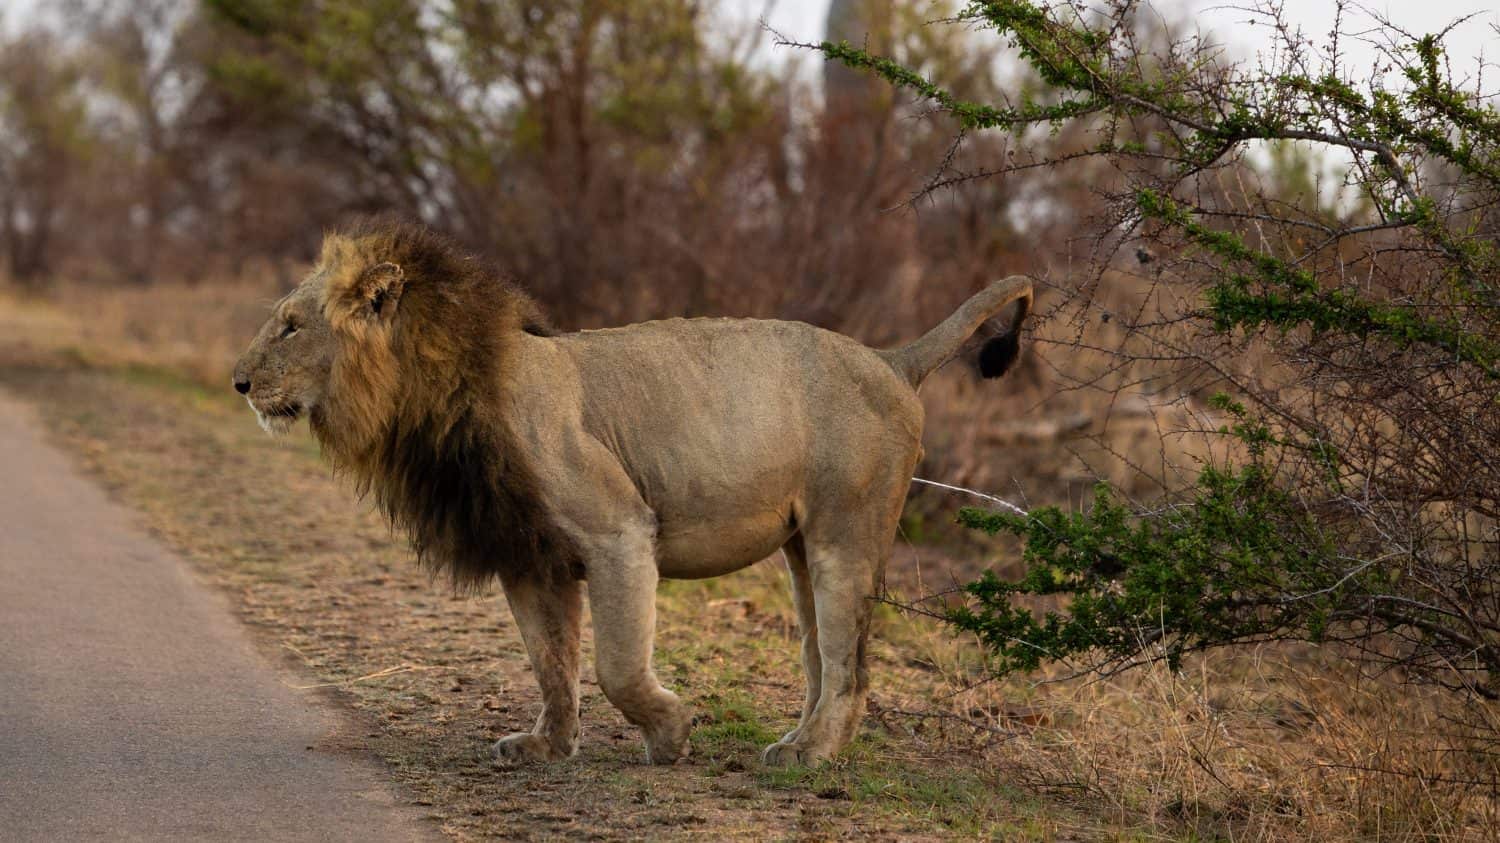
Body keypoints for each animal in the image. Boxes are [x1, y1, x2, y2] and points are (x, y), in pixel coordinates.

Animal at [232, 219, 1031, 767]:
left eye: (291, 326)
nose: (238, 382)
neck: (430, 396)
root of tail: (895, 360)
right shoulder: (530, 555)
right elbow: (551, 663)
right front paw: (547, 746)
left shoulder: (618, 531)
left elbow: (615, 665)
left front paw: (671, 734)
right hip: (804, 549)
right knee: (819, 657)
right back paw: (799, 742)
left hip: (847, 536)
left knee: (849, 662)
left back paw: (810, 755)